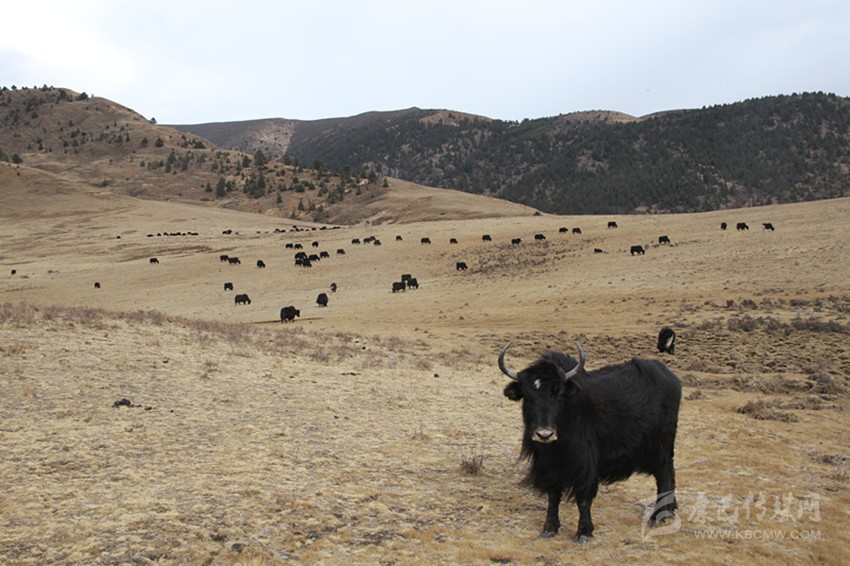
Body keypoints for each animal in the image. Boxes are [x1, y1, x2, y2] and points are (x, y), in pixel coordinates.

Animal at [498, 340, 681, 540]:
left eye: (559, 395)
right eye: (528, 397)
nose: (545, 434)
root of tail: (671, 377)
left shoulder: (585, 464)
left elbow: (583, 499)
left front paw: (584, 532)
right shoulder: (549, 466)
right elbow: (553, 496)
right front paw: (549, 528)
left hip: (662, 446)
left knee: (664, 475)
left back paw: (659, 516)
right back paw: (670, 510)